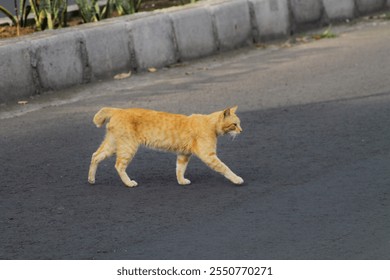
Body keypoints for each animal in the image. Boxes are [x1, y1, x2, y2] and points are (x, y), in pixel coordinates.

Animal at [88, 106, 244, 187]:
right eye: (235, 124)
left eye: (239, 124)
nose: (241, 131)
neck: (210, 123)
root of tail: (118, 109)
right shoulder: (209, 155)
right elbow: (225, 168)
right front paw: (236, 179)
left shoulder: (183, 154)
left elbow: (179, 169)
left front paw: (181, 181)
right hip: (128, 147)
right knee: (119, 165)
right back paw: (128, 183)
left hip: (112, 144)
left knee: (95, 155)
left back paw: (91, 179)